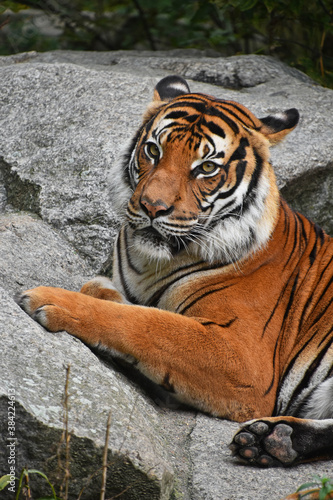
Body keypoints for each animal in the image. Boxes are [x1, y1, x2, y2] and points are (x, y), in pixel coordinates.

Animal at [17, 75, 332, 468]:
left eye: (207, 168)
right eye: (153, 150)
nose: (153, 207)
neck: (156, 262)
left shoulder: (243, 359)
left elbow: (148, 324)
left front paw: (50, 299)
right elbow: (124, 301)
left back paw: (272, 439)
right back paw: (273, 439)